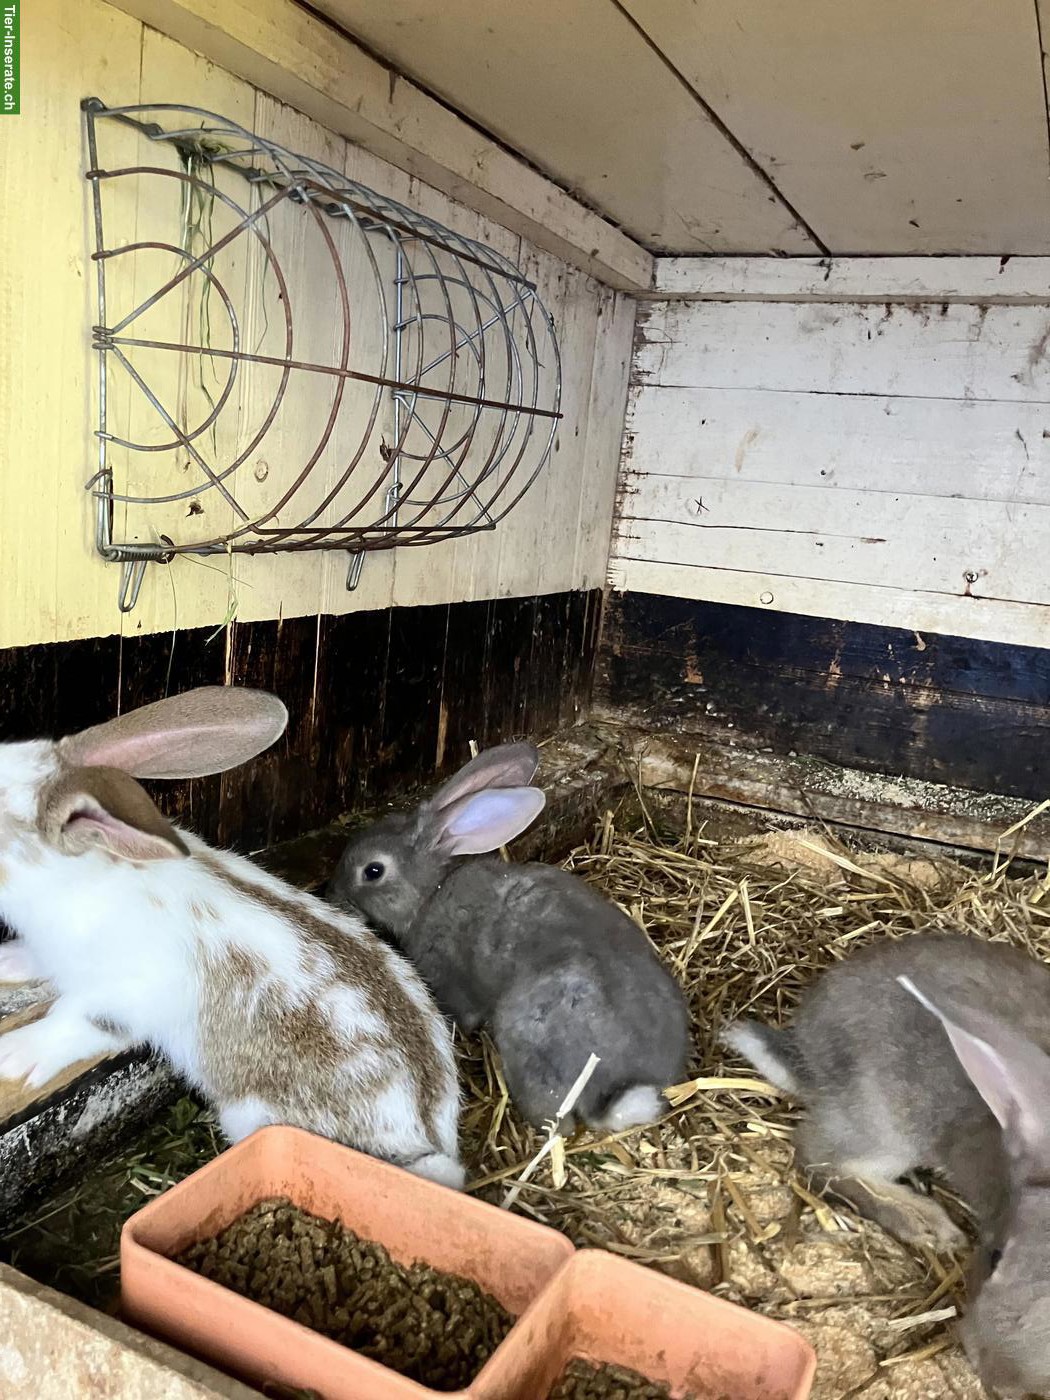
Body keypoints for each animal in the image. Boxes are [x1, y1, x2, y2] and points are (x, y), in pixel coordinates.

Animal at [724, 933, 1050, 1398]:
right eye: (995, 1256)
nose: (991, 1373)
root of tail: (807, 1051)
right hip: (890, 1122)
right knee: (817, 1154)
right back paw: (925, 1222)